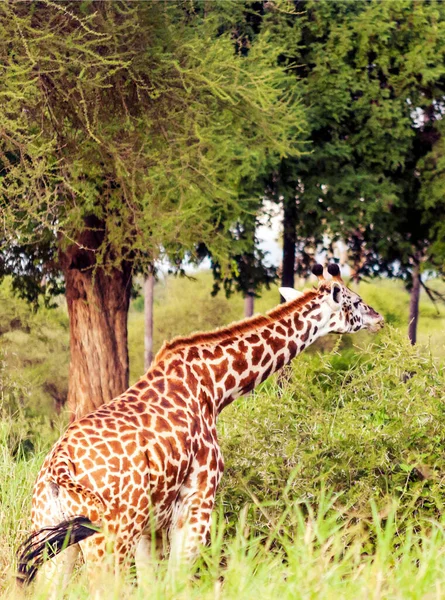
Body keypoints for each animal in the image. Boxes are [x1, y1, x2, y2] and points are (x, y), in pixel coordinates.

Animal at [17, 264, 382, 588]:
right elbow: (177, 582)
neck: (214, 387)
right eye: (354, 301)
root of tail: (60, 465)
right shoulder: (196, 505)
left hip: (52, 533)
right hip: (108, 537)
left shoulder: (151, 524)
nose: (378, 318)